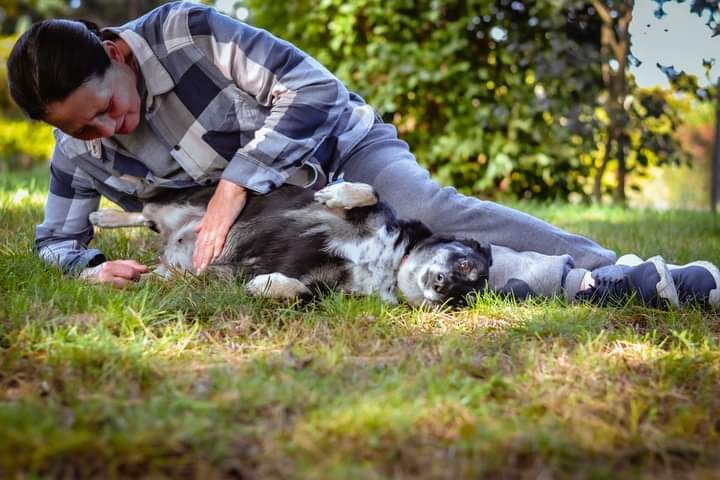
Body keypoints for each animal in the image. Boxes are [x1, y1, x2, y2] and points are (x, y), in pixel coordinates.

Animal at [90, 182, 492, 306]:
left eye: (462, 299)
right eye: (464, 265)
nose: (443, 285)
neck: (393, 264)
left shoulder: (328, 290)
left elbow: (300, 291)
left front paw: (266, 284)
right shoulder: (366, 217)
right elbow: (368, 192)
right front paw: (336, 192)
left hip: (165, 276)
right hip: (198, 202)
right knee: (147, 212)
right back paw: (104, 217)